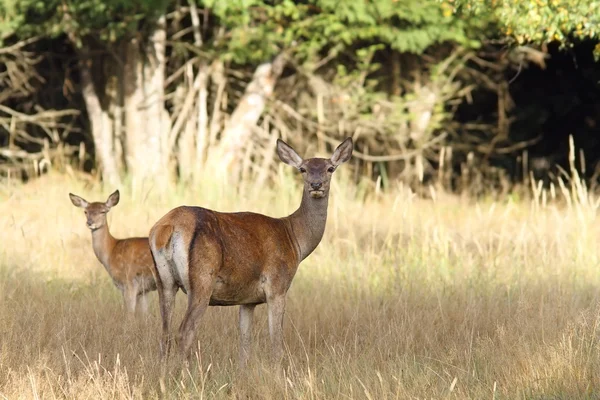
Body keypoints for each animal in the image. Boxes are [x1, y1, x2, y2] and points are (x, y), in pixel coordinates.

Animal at [149, 138, 352, 366]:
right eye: (303, 169)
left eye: (330, 168)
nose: (316, 185)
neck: (294, 240)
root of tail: (168, 227)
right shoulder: (277, 286)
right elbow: (277, 344)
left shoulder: (247, 301)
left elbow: (245, 345)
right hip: (202, 280)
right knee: (184, 332)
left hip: (164, 282)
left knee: (164, 335)